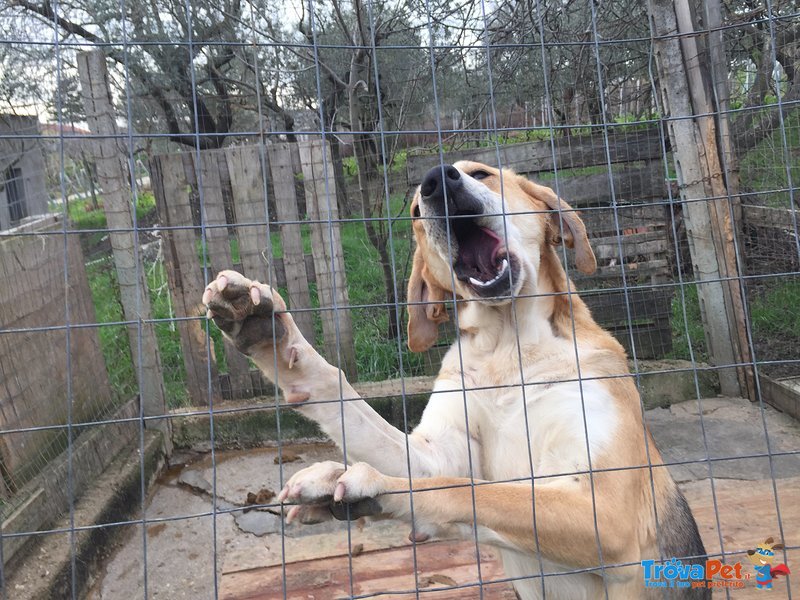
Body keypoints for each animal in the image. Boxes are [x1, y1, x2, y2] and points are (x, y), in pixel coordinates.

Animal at [203, 162, 708, 596]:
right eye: (414, 211)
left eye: (481, 173)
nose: (434, 182)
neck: (509, 351)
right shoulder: (436, 453)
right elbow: (355, 410)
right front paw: (264, 329)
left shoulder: (606, 510)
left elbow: (468, 491)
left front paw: (374, 484)